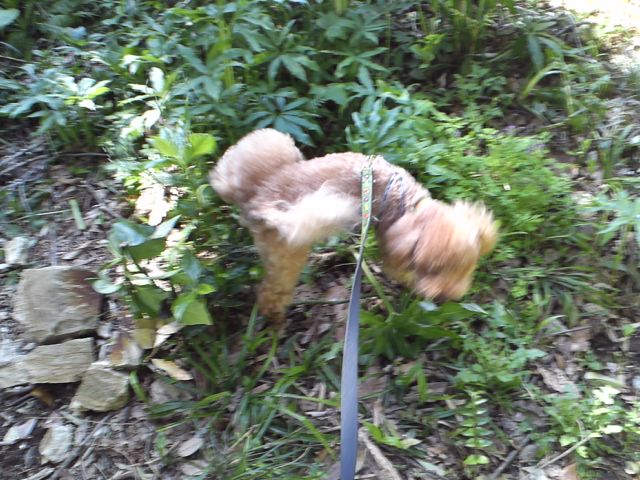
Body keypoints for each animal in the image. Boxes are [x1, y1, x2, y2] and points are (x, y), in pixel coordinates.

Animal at [210, 129, 497, 326]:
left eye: (464, 268)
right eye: (429, 270)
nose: (444, 298)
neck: (405, 200)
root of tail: (254, 199)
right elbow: (397, 269)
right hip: (287, 248)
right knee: (272, 290)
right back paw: (275, 318)